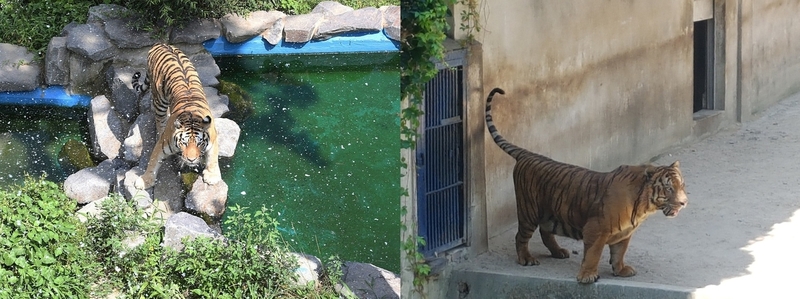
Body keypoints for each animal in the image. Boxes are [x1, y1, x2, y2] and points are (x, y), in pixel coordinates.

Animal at [132, 42, 220, 190]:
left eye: (199, 143)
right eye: (184, 143)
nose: (191, 159)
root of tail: (160, 44)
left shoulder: (213, 139)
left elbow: (213, 158)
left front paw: (212, 176)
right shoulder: (162, 144)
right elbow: (153, 161)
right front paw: (145, 180)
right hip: (159, 101)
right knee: (159, 119)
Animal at [488, 88, 688, 284]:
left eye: (682, 186)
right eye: (669, 188)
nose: (684, 202)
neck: (643, 208)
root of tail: (528, 155)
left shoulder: (624, 233)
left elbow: (619, 253)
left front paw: (621, 270)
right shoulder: (595, 229)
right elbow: (593, 254)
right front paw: (587, 277)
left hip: (549, 212)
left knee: (545, 232)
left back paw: (558, 252)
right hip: (529, 211)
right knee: (521, 236)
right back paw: (526, 259)